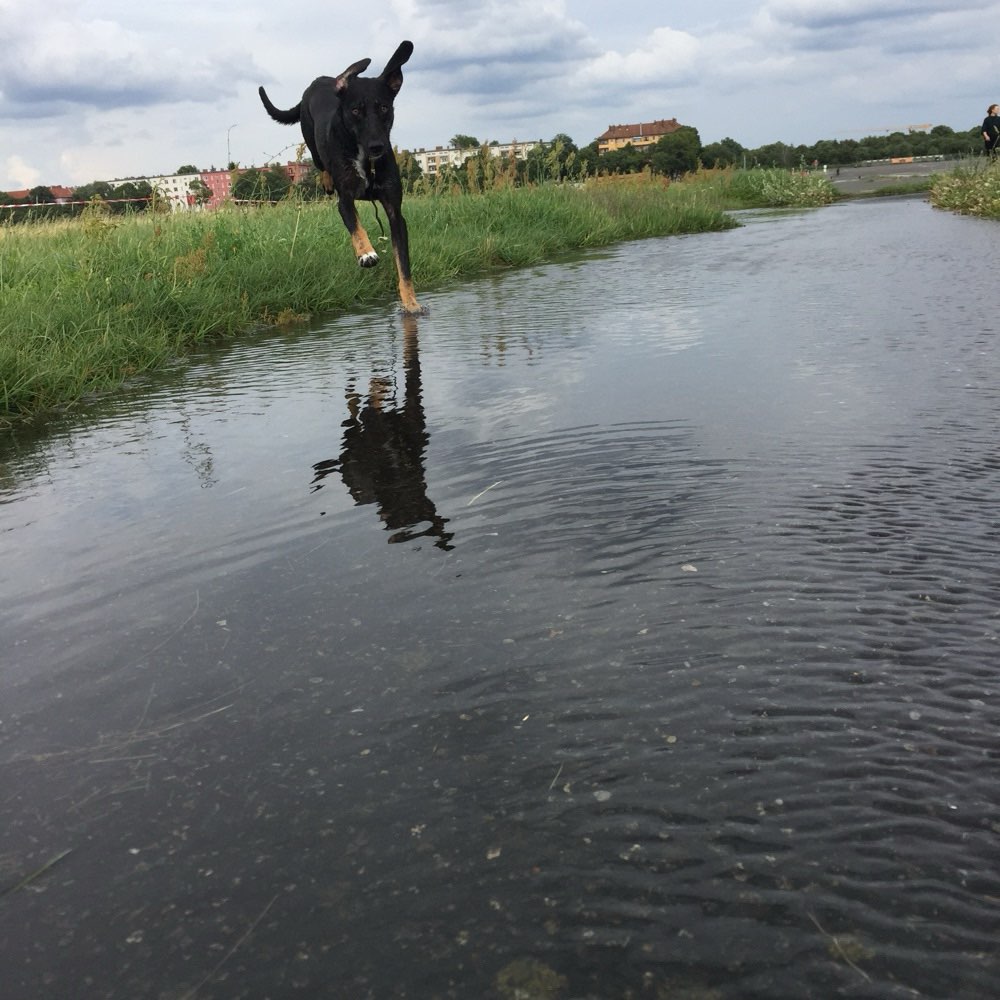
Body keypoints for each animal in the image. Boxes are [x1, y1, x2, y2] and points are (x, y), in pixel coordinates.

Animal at [258, 41, 426, 314]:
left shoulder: (395, 212)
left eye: (384, 107)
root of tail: (318, 81)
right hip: (312, 142)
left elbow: (404, 266)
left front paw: (411, 304)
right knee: (321, 165)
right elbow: (356, 226)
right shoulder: (345, 199)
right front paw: (366, 253)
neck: (365, 159)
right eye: (356, 110)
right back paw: (326, 182)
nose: (377, 146)